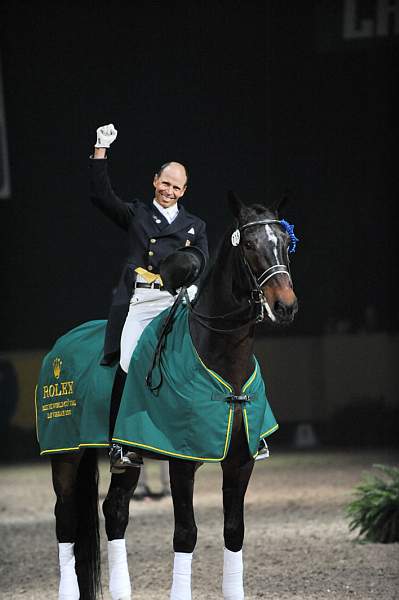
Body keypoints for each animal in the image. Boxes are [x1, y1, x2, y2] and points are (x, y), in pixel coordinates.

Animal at [44, 192, 300, 600]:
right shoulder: (180, 461)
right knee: (65, 519)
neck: (221, 358)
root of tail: (61, 344)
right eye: (248, 244)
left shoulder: (240, 462)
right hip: (65, 453)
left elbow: (234, 532)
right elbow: (186, 534)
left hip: (127, 458)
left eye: (285, 243)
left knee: (114, 511)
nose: (285, 306)